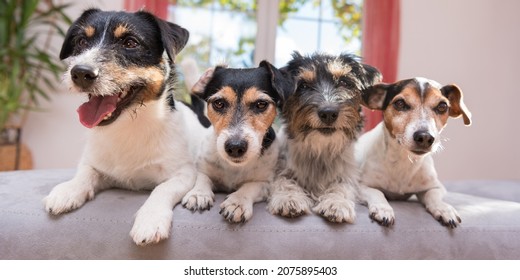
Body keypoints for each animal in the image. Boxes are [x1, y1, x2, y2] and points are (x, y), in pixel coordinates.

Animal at [43, 8, 205, 245]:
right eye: (81, 41)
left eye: (130, 43)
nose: (80, 72)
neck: (128, 125)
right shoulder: (94, 164)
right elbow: (84, 174)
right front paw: (67, 190)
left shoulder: (183, 173)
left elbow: (162, 189)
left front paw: (150, 219)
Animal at [268, 52, 382, 223]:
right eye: (303, 86)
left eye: (344, 82)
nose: (328, 113)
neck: (320, 148)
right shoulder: (281, 169)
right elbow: (284, 181)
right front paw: (289, 199)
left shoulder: (347, 175)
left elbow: (341, 187)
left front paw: (336, 204)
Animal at [358, 76, 472, 228]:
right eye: (400, 103)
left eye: (442, 106)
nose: (425, 137)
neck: (403, 160)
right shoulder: (360, 186)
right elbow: (377, 192)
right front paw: (383, 209)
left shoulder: (436, 187)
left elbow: (433, 196)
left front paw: (444, 209)